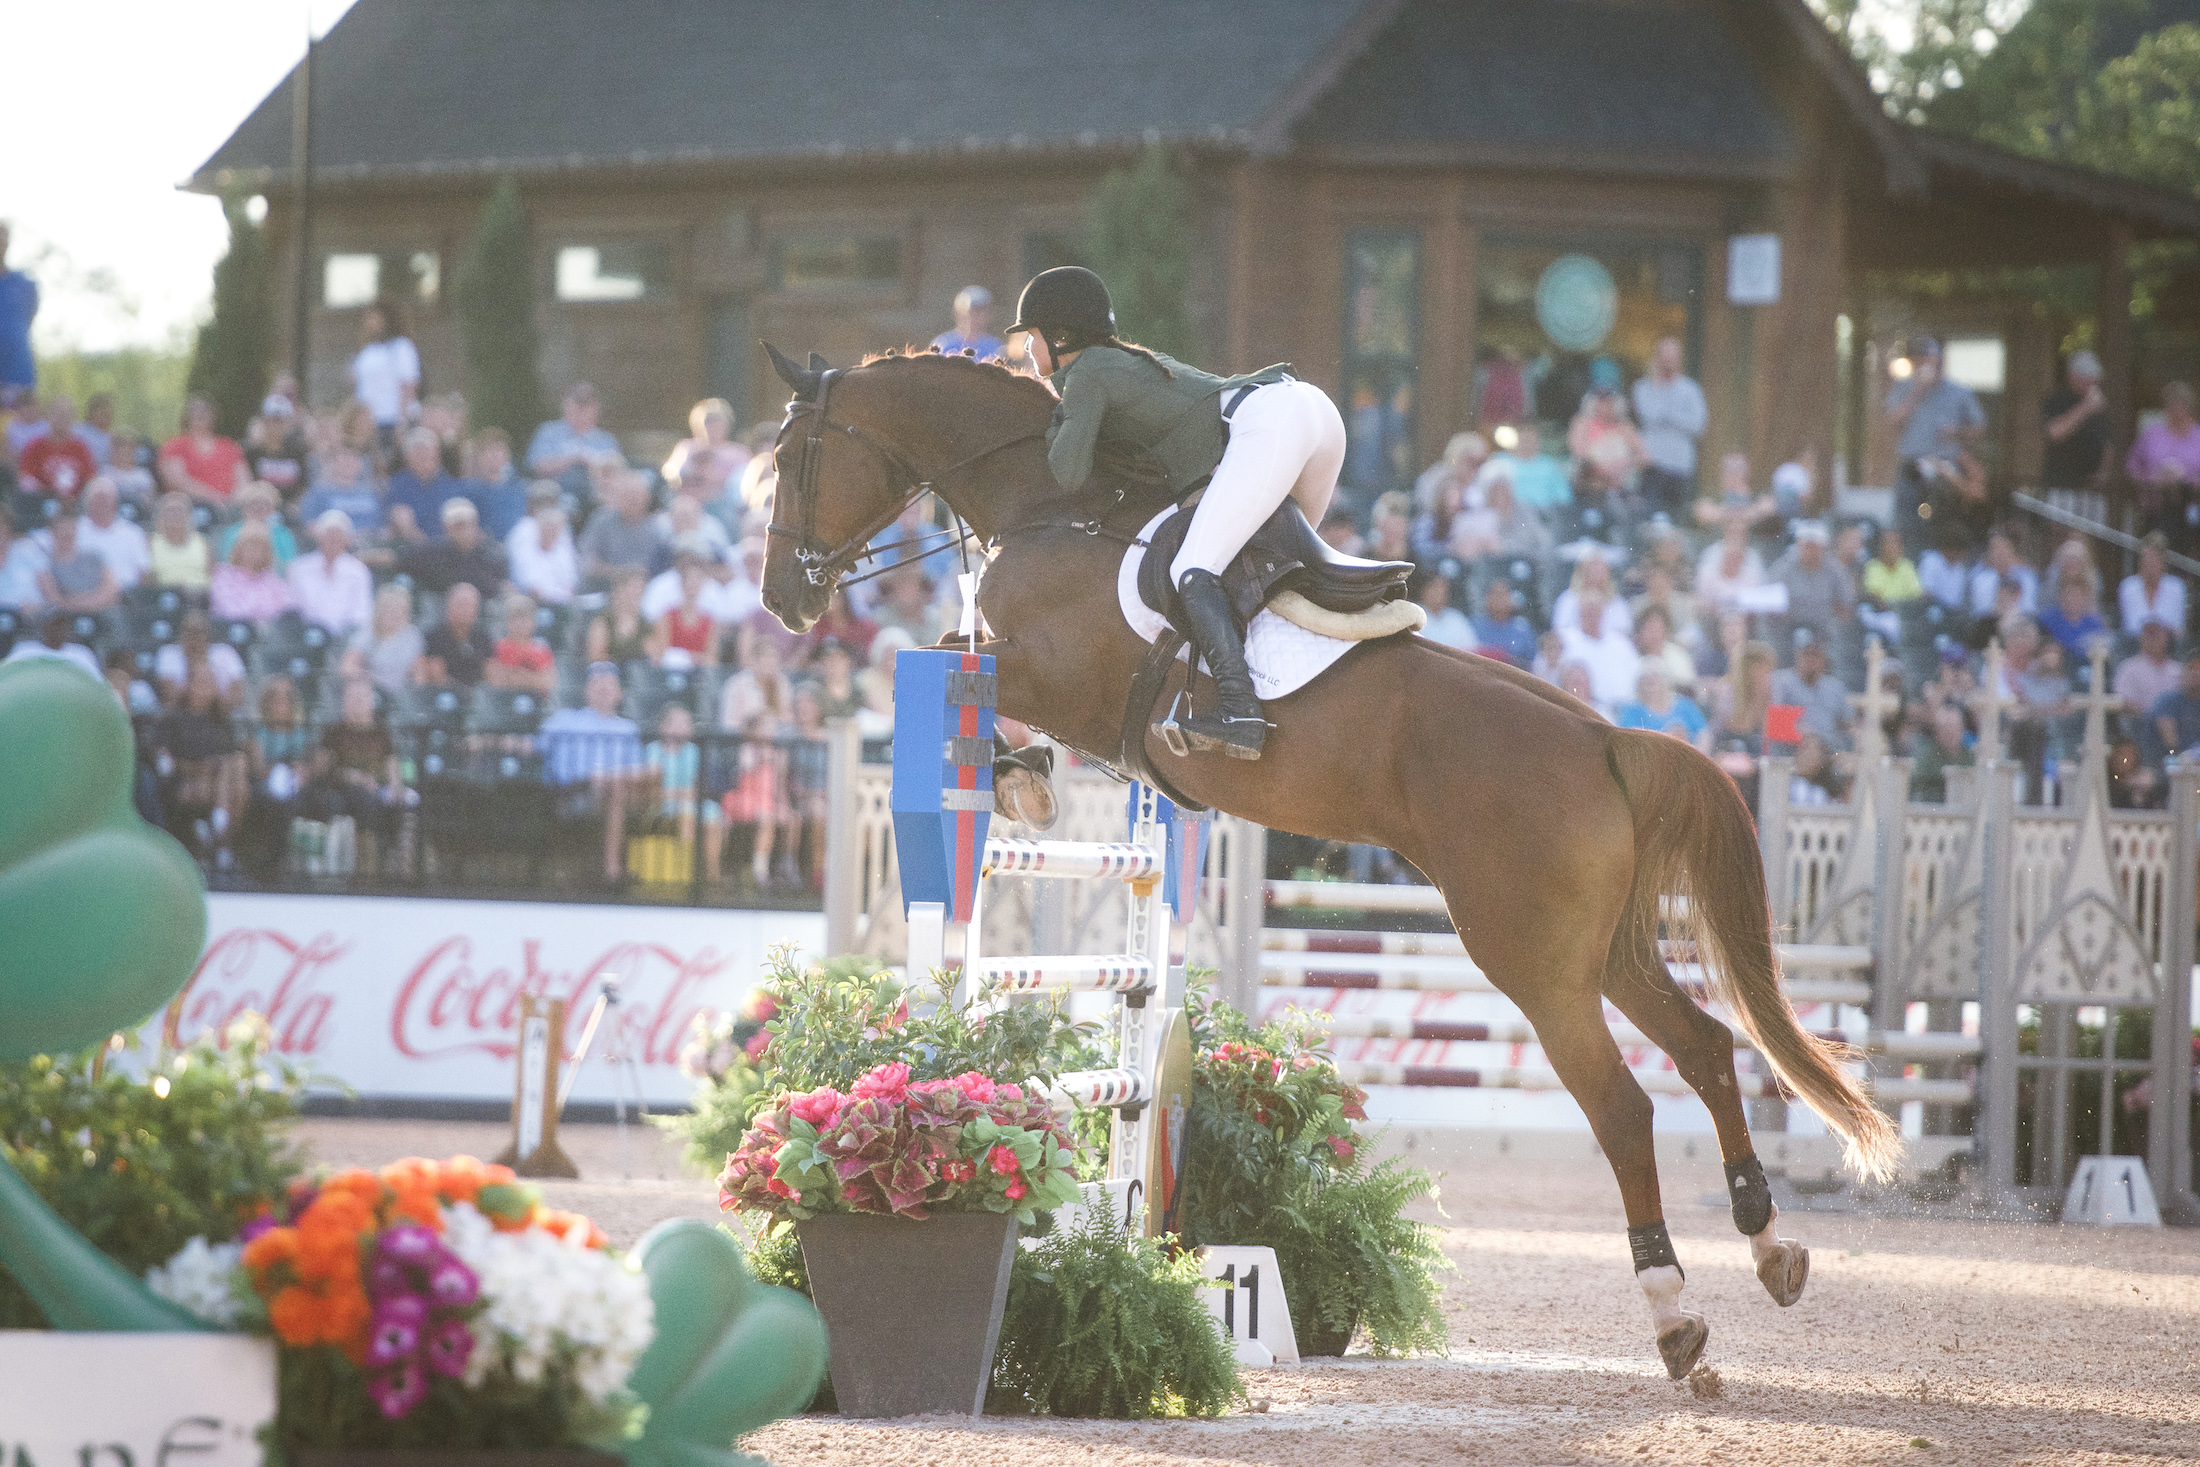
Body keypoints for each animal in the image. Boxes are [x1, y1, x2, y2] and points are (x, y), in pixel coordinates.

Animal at [765, 345, 1900, 1381]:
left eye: (789, 458)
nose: (783, 602)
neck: (1051, 503)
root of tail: (1600, 738)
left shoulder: (1053, 673)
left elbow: (955, 647)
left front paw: (1015, 775)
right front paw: (1026, 778)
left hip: (1531, 961)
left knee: (1623, 1107)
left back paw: (1675, 1319)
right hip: (1604, 951)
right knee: (1706, 1048)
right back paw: (1772, 1247)